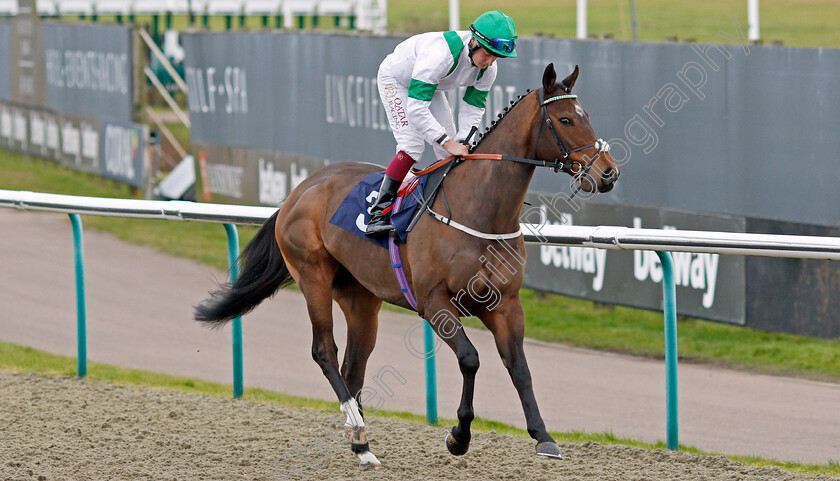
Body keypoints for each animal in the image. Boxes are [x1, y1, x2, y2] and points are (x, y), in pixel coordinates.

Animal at [195, 63, 616, 464]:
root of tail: (298, 191)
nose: (608, 172)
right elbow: (470, 359)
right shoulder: (435, 304)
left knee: (353, 366)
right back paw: (360, 433)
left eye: (587, 115)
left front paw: (543, 437)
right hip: (312, 275)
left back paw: (359, 441)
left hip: (361, 299)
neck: (479, 211)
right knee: (324, 351)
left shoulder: (506, 305)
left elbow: (519, 367)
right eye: (566, 119)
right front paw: (458, 436)